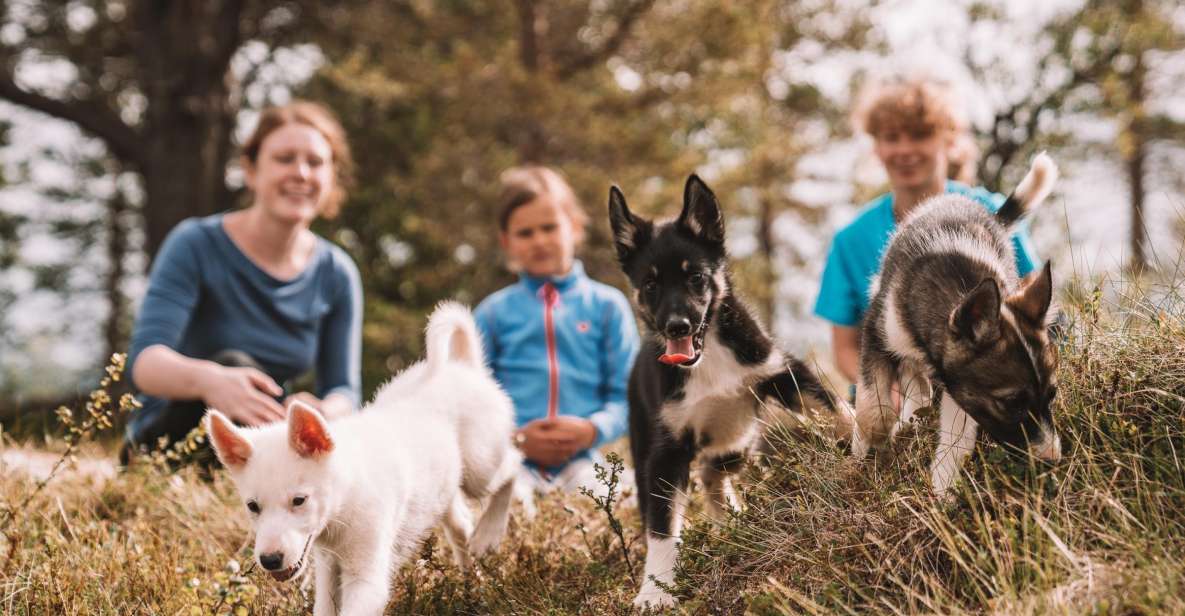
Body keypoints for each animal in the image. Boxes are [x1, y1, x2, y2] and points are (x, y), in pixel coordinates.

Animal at [207, 303, 519, 616]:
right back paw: (472, 587)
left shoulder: (366, 577)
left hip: (480, 467)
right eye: (252, 506)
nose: (270, 560)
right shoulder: (328, 566)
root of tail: (464, 367)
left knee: (513, 466)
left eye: (299, 500)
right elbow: (324, 608)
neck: (346, 498)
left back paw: (489, 534)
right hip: (443, 490)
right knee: (461, 526)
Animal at [606, 175, 838, 606]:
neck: (707, 356)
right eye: (650, 284)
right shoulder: (666, 453)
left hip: (737, 442)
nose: (678, 326)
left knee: (713, 474)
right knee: (685, 491)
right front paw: (655, 591)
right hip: (648, 450)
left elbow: (836, 409)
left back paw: (731, 519)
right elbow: (662, 531)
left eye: (695, 277)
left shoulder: (780, 372)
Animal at [853, 155, 1066, 499]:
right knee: (909, 377)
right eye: (1011, 402)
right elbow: (874, 410)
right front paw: (868, 446)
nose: (1051, 460)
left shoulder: (962, 388)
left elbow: (957, 435)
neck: (960, 289)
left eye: (1052, 394)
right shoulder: (875, 334)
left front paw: (944, 486)